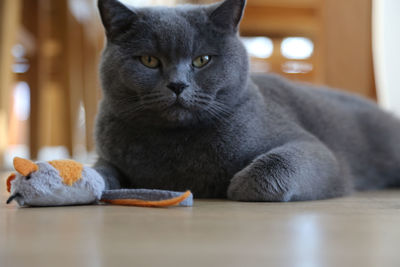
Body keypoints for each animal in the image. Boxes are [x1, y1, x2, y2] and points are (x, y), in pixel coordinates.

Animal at [94, 0, 400, 202]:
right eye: (149, 60)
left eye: (202, 60)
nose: (178, 85)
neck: (176, 145)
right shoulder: (107, 155)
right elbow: (100, 170)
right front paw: (94, 181)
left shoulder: (315, 148)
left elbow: (264, 171)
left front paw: (234, 186)